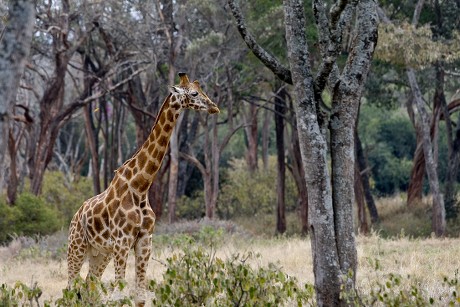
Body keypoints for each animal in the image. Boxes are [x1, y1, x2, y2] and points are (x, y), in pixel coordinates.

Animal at [65, 72, 221, 304]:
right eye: (194, 93)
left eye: (202, 90)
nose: (214, 107)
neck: (140, 187)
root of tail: (76, 216)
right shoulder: (122, 242)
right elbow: (119, 295)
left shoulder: (144, 241)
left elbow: (140, 295)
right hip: (77, 247)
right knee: (70, 288)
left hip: (100, 253)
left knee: (87, 289)